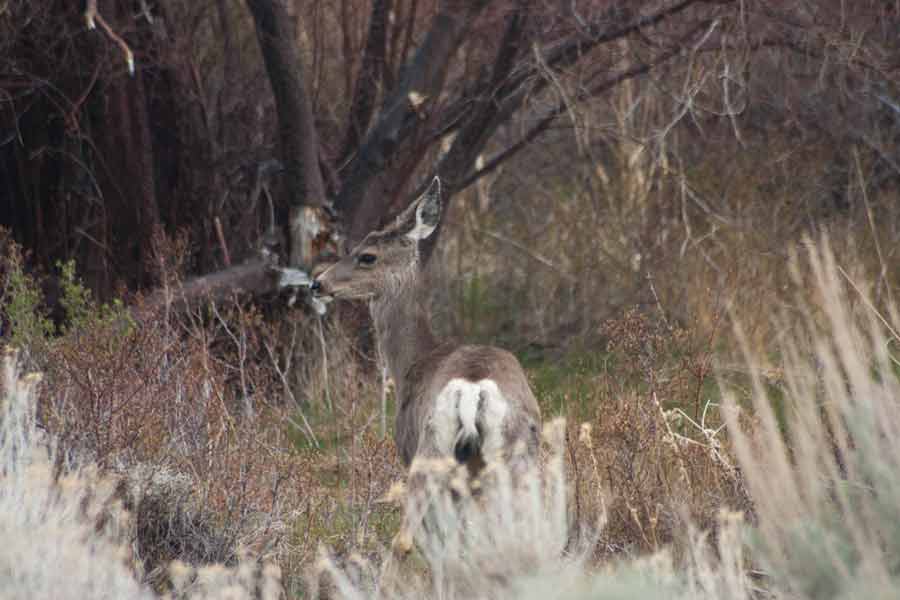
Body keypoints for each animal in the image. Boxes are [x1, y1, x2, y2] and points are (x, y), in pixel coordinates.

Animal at [312, 180, 540, 552]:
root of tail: (474, 388)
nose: (317, 283)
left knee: (405, 539)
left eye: (367, 255)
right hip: (518, 453)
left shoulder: (406, 444)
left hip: (430, 449)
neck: (414, 360)